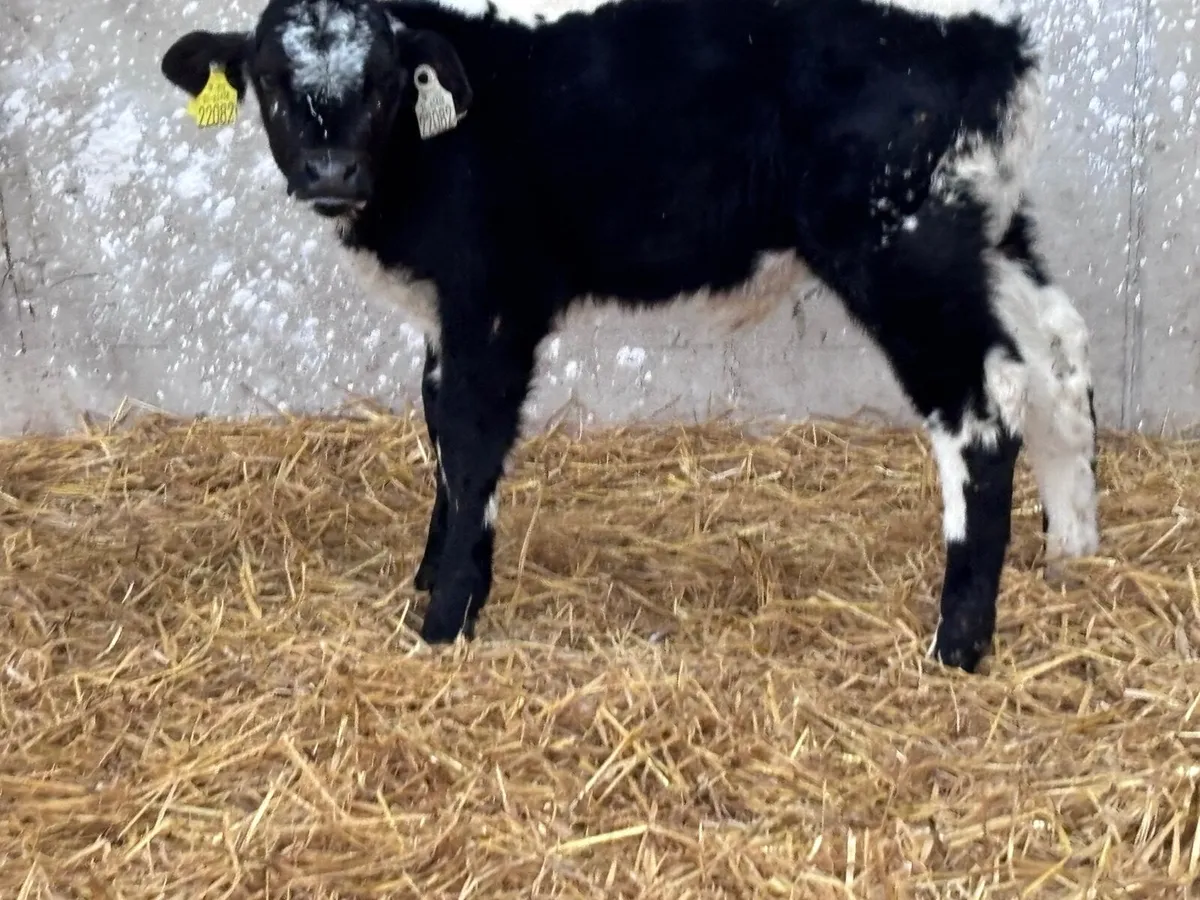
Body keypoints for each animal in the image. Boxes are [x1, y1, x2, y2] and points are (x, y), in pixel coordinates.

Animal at [159, 0, 1100, 672]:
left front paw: (446, 615)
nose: (330, 173)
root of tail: (996, 39)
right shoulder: (444, 315)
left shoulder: (493, 301)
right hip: (987, 236)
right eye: (271, 80)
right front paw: (433, 574)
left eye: (387, 81)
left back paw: (958, 644)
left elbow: (471, 440)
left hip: (899, 246)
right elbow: (438, 432)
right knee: (1057, 354)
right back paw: (1074, 554)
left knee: (981, 408)